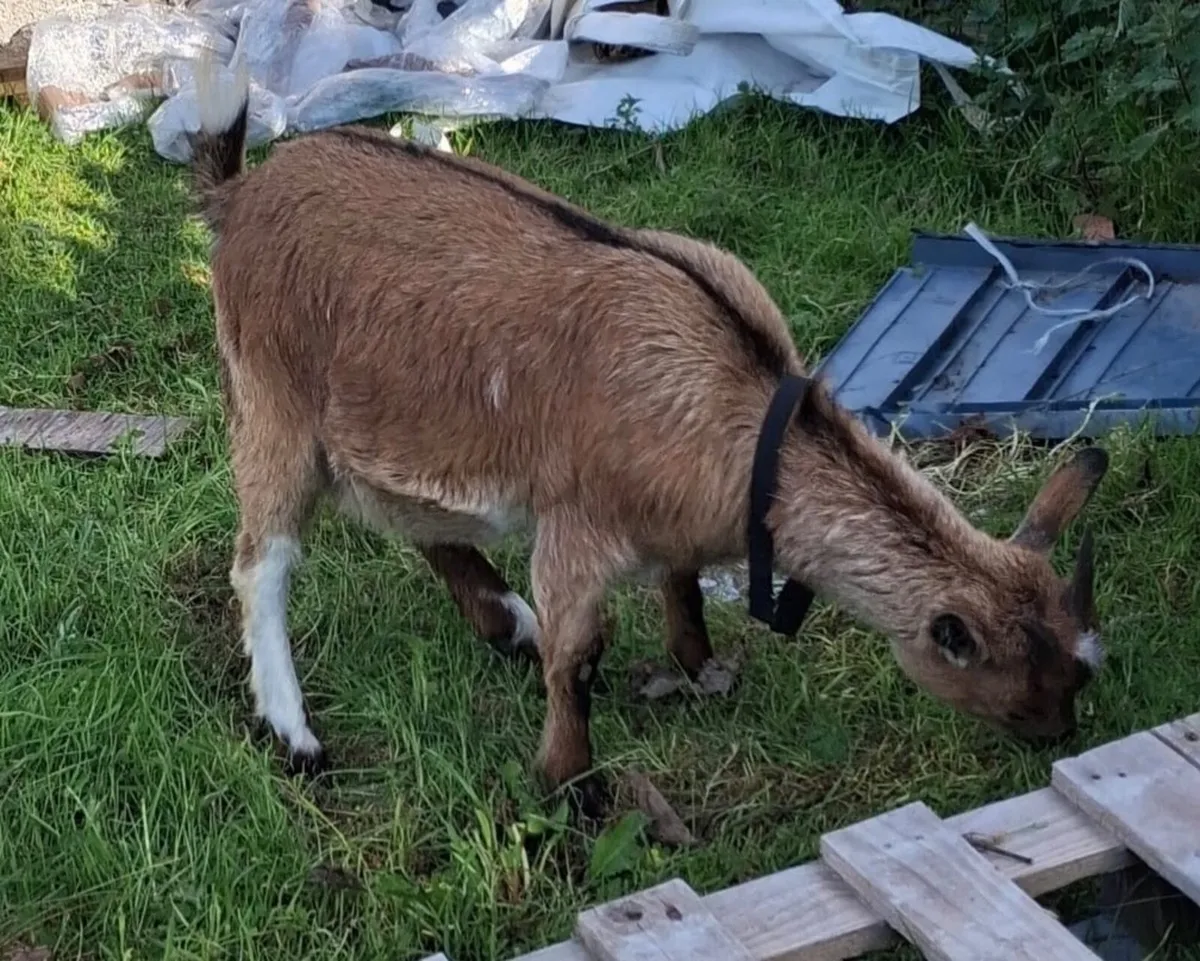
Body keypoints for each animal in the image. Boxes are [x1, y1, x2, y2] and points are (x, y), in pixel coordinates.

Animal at [188, 62, 1109, 816]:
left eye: (1074, 664)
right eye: (1016, 673)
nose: (1061, 731)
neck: (739, 409)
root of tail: (241, 194)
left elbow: (684, 584)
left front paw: (699, 667)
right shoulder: (577, 524)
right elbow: (578, 656)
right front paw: (571, 782)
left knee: (408, 517)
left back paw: (504, 623)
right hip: (269, 395)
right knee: (261, 561)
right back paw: (296, 731)